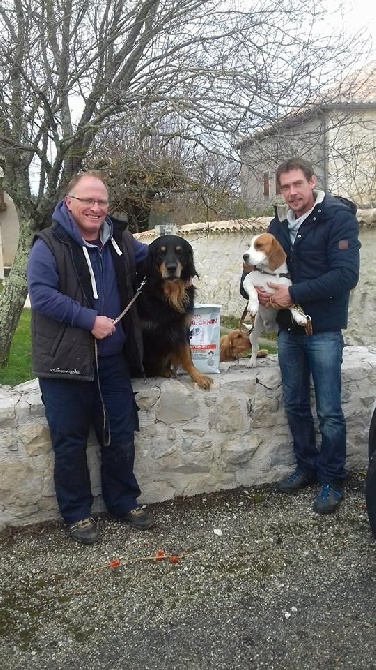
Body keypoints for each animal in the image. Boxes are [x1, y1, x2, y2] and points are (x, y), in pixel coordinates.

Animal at [137, 236, 213, 392]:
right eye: (161, 252)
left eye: (179, 252)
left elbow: (187, 356)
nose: (171, 268)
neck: (169, 294)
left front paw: (198, 377)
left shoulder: (181, 328)